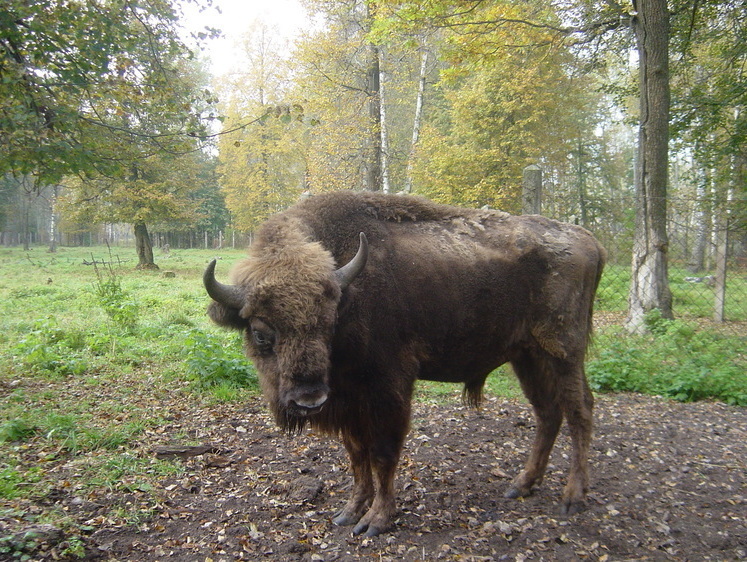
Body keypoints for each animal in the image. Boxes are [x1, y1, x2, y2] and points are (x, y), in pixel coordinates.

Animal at [205, 190, 608, 536]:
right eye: (260, 332)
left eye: (329, 323)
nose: (308, 399)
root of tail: (590, 240)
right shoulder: (348, 400)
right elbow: (357, 455)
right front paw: (349, 511)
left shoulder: (388, 389)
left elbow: (382, 453)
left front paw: (376, 520)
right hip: (528, 356)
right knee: (548, 413)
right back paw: (521, 485)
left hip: (563, 352)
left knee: (579, 411)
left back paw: (573, 497)